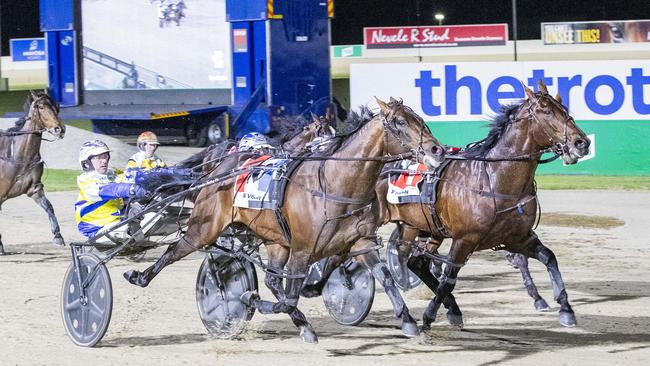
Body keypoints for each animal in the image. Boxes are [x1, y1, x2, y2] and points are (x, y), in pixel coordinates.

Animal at [0, 91, 66, 254]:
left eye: (57, 106)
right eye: (41, 107)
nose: (59, 129)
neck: (18, 155)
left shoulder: (34, 189)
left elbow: (48, 207)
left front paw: (58, 236)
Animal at [121, 98, 446, 344]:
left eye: (419, 118)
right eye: (400, 122)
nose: (437, 149)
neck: (335, 183)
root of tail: (219, 169)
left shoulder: (359, 243)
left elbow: (385, 278)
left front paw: (408, 322)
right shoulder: (302, 250)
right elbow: (288, 297)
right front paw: (250, 299)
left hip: (274, 240)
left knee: (271, 279)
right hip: (204, 228)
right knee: (174, 250)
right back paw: (139, 276)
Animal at [374, 81, 588, 328]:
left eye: (564, 109)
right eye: (546, 111)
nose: (582, 142)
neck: (495, 178)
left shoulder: (517, 237)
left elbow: (549, 257)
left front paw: (565, 307)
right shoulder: (464, 239)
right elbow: (449, 279)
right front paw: (429, 315)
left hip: (425, 228)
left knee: (416, 263)